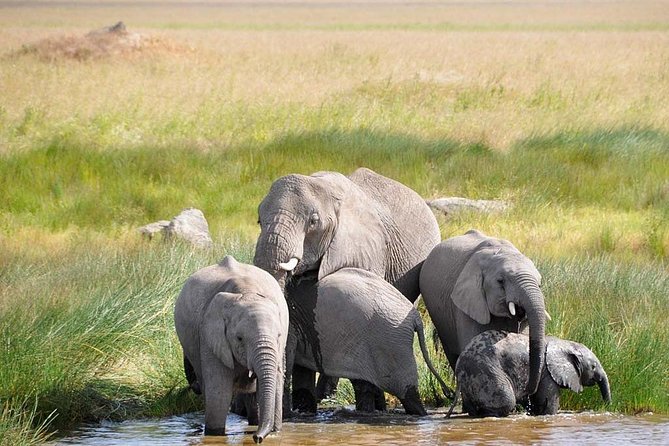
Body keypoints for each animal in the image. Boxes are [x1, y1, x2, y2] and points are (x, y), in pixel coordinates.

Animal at [174, 256, 289, 443]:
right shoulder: (210, 337)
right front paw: (214, 435)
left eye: (279, 336)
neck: (247, 291)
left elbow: (276, 388)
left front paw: (275, 432)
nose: (257, 438)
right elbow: (219, 395)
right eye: (239, 338)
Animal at [449, 330, 611, 417]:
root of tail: (460, 366)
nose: (606, 407)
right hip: (487, 373)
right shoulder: (547, 373)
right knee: (506, 401)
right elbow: (549, 403)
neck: (564, 343)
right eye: (593, 367)